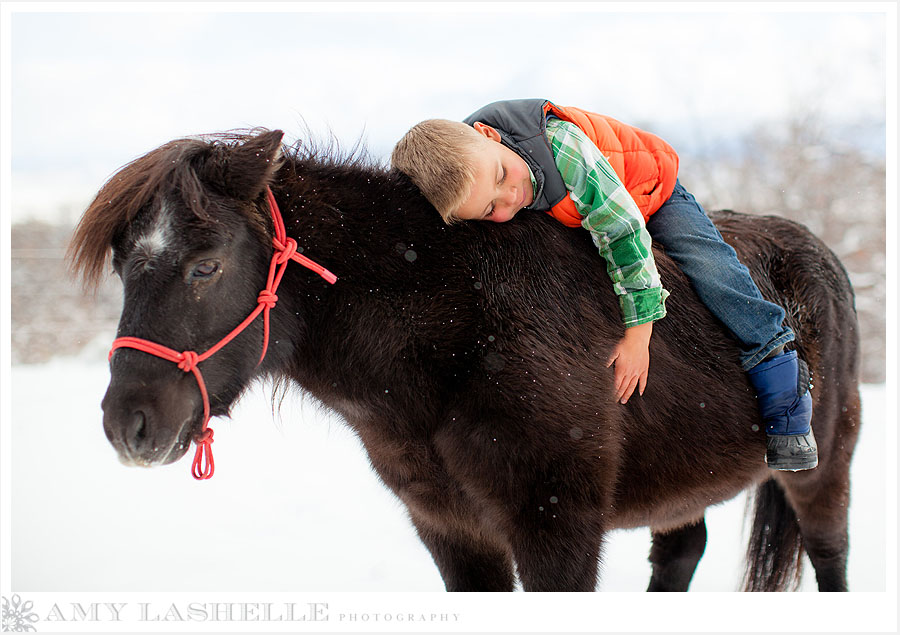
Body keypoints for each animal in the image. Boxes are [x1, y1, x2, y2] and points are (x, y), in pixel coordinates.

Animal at [68, 129, 856, 592]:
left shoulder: (558, 527)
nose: (127, 424)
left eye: (205, 266)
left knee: (829, 552)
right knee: (680, 551)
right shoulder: (452, 533)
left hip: (822, 471)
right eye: (124, 266)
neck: (453, 325)